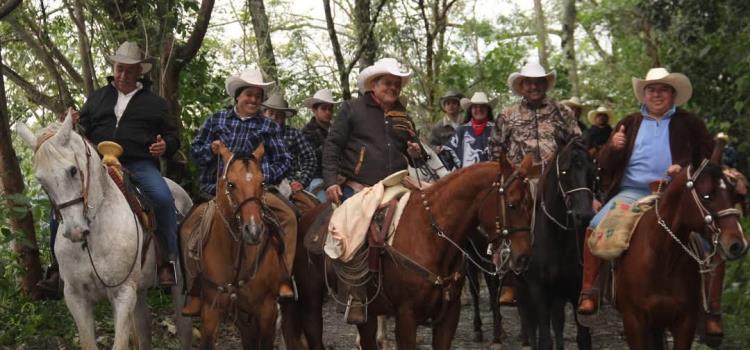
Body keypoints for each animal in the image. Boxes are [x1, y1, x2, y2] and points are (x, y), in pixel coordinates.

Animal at [284, 156, 536, 350]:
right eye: (512, 204)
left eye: (531, 204)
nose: (523, 257)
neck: (430, 235)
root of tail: (304, 218)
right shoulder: (406, 317)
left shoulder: (448, 317)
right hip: (310, 300)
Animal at [516, 139, 596, 350]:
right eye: (565, 171)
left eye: (591, 171)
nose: (584, 215)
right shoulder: (539, 291)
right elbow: (544, 339)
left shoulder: (574, 289)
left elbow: (583, 338)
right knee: (530, 322)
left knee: (557, 321)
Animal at [612, 144, 748, 348]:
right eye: (707, 195)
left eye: (734, 195)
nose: (738, 244)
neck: (662, 258)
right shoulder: (633, 321)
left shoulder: (685, 322)